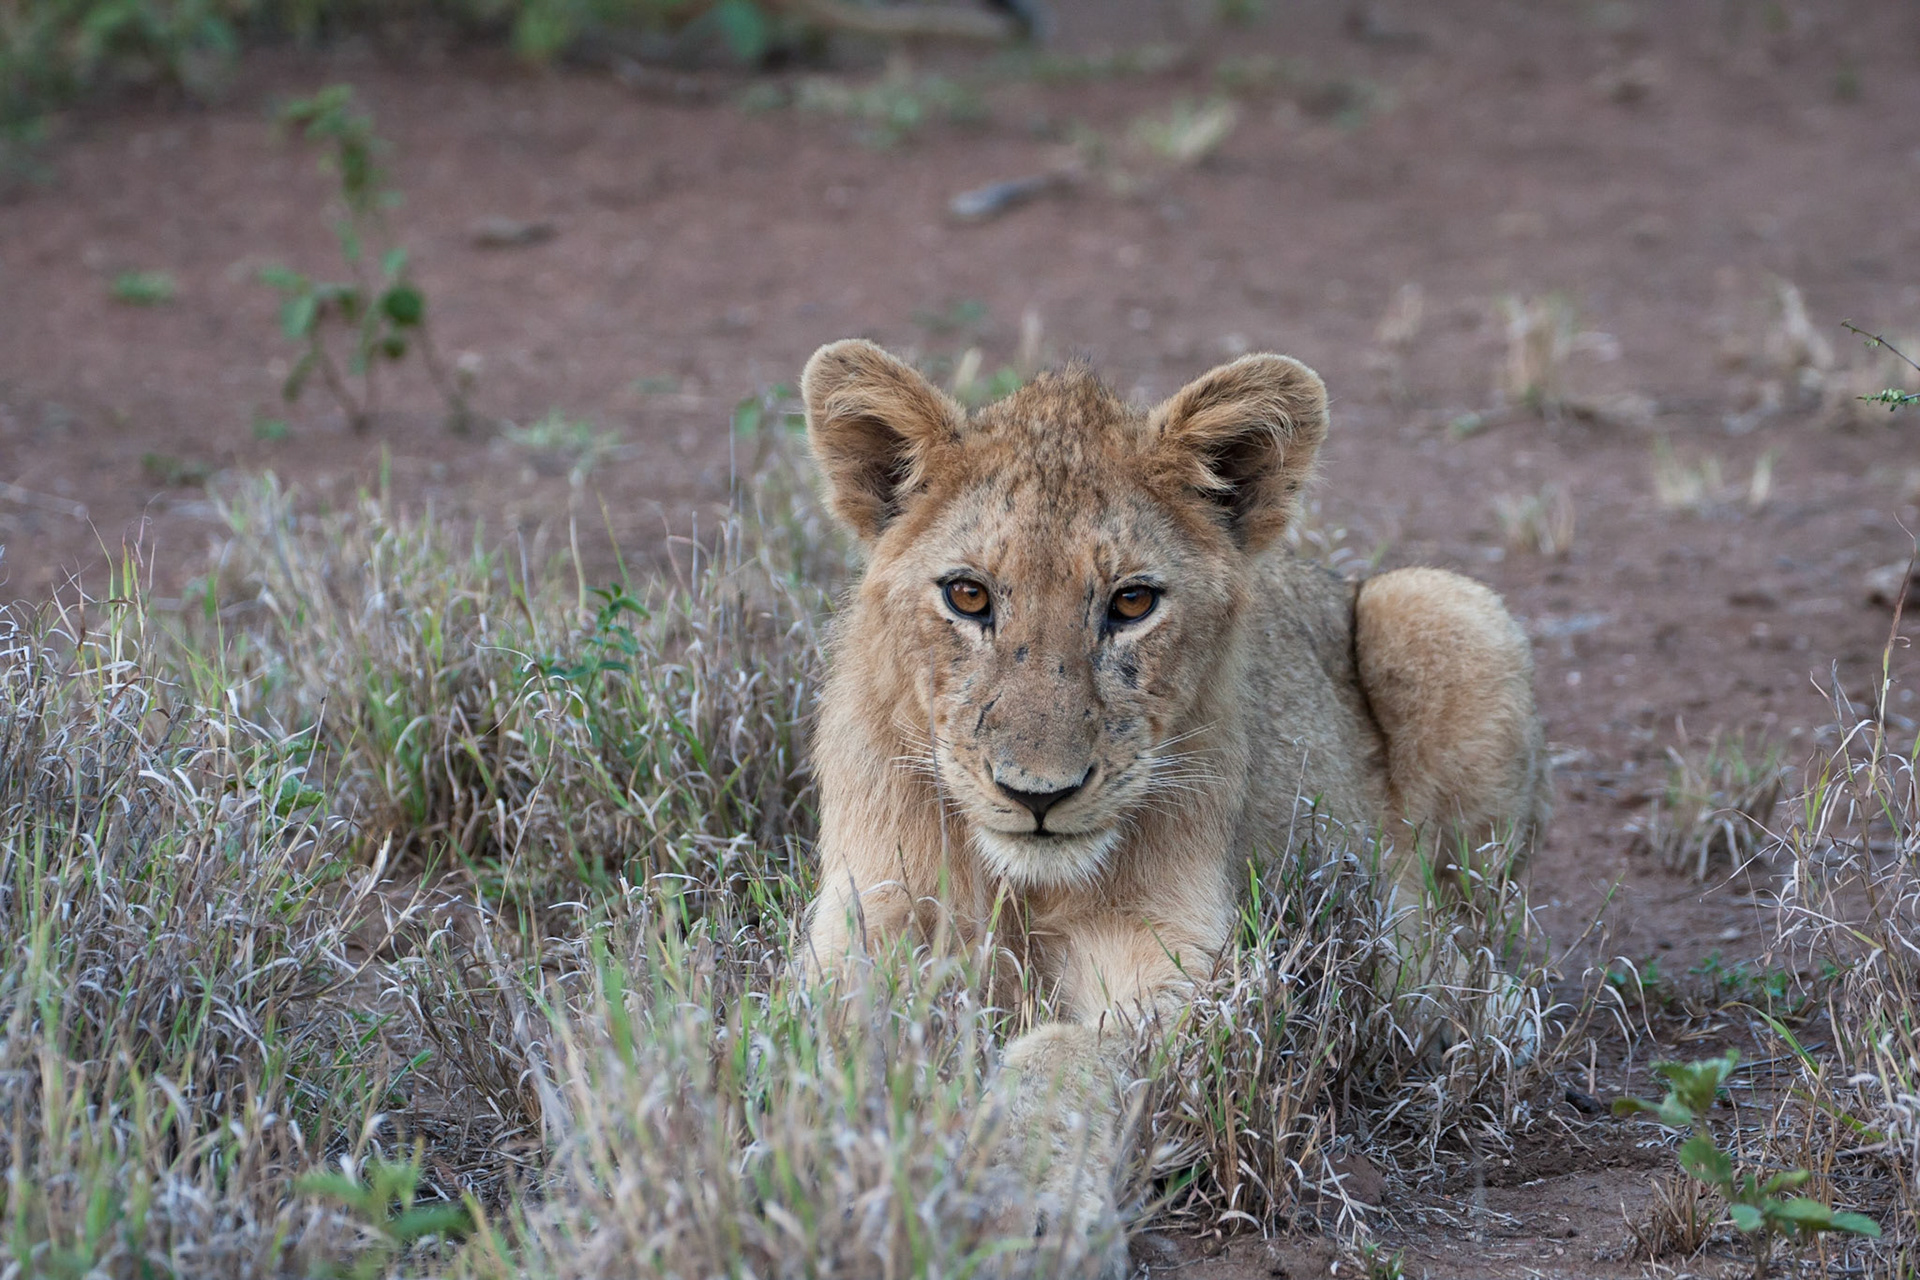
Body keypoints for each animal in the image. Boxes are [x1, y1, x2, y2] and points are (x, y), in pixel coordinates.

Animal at [796, 339, 1549, 1274]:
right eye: (968, 596)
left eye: (1131, 602)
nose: (1038, 793)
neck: (1026, 885)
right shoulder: (866, 927)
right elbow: (841, 1052)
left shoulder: (1190, 974)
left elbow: (1070, 1048)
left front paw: (1023, 1204)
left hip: (1441, 609)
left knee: (1473, 939)